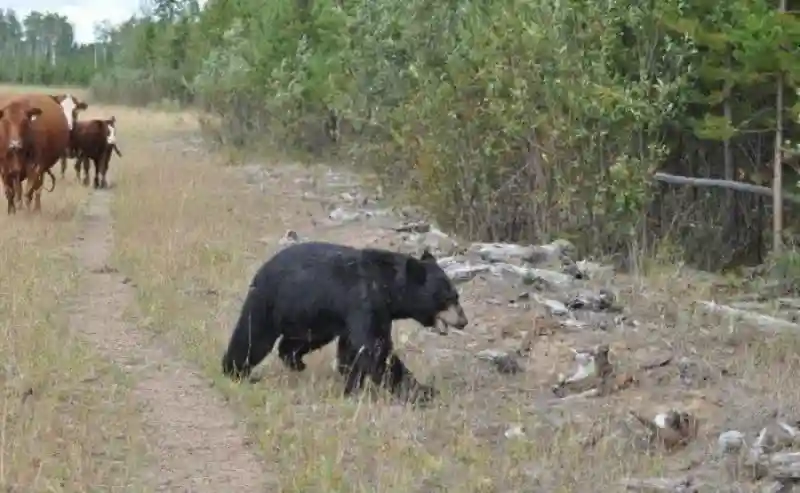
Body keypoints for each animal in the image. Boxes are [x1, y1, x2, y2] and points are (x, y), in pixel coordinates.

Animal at [219, 240, 468, 402]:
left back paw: (295, 361)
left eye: (457, 296)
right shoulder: (364, 301)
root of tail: (262, 270)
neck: (387, 287)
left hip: (312, 315)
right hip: (270, 302)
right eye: (449, 298)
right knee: (253, 336)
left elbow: (354, 349)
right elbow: (374, 349)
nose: (464, 321)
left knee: (298, 341)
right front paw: (422, 391)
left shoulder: (374, 312)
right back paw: (234, 370)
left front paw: (351, 385)